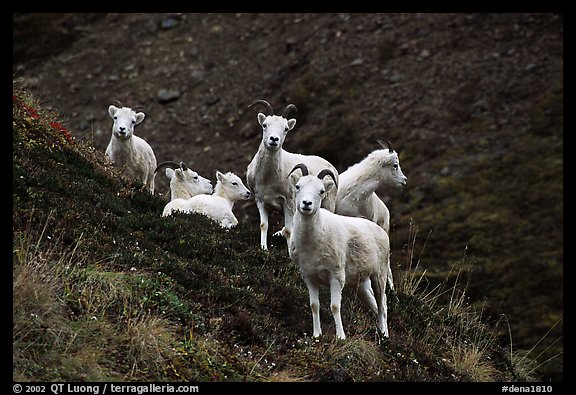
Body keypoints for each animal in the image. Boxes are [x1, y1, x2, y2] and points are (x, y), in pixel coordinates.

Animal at [246, 100, 338, 251]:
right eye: (265, 125)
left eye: (286, 129)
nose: (273, 139)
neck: (268, 179)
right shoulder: (260, 201)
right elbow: (264, 225)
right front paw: (264, 249)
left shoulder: (288, 203)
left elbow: (289, 231)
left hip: (328, 204)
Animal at [288, 164, 392, 340]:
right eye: (298, 186)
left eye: (321, 191)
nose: (306, 204)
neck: (312, 243)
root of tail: (381, 232)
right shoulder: (309, 277)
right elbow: (314, 305)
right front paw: (317, 335)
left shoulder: (336, 276)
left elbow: (335, 306)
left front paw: (341, 337)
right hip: (362, 285)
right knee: (375, 305)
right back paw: (380, 334)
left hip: (379, 275)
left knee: (382, 303)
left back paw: (385, 336)